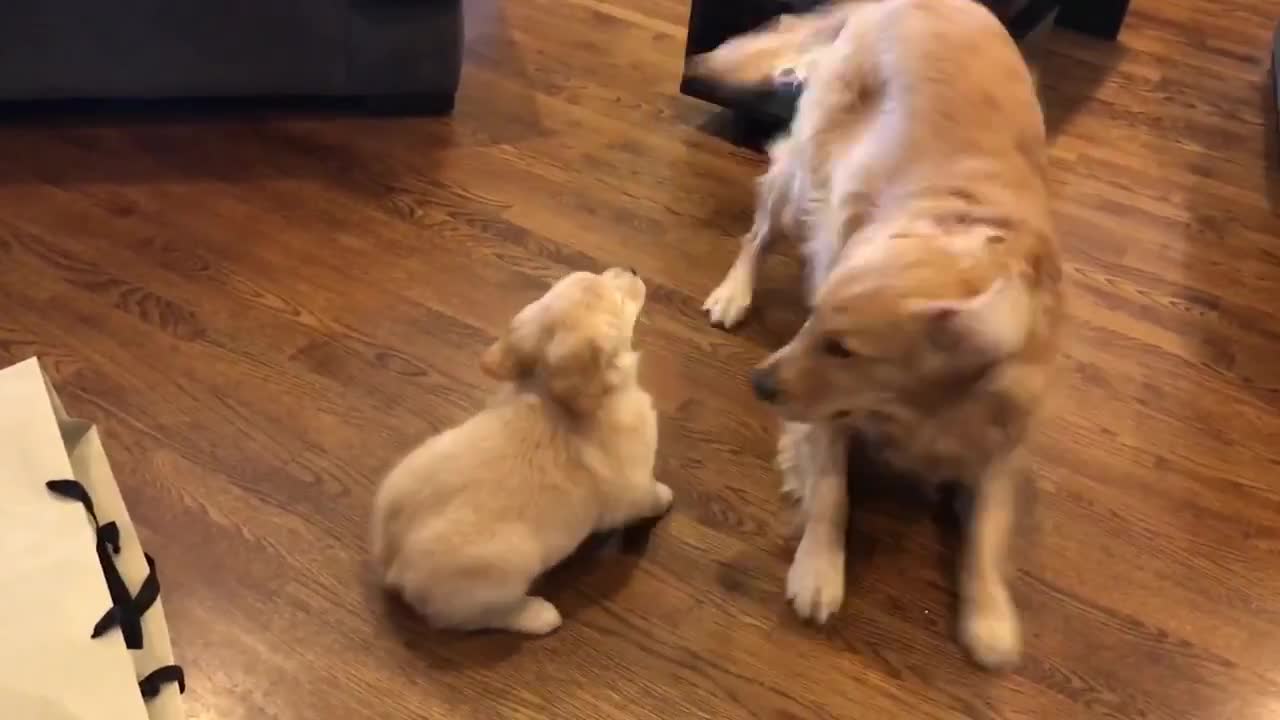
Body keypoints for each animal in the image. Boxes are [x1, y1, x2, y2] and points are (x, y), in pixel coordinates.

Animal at [368, 269, 675, 632]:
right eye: (617, 299)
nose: (631, 270)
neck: (547, 390)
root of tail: (392, 567)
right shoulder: (635, 487)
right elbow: (652, 496)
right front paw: (667, 498)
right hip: (509, 565)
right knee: (476, 617)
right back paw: (539, 614)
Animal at [691, 0, 1059, 666]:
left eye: (844, 349)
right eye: (812, 321)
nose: (759, 384)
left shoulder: (1000, 436)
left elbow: (988, 531)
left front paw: (991, 615)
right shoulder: (826, 415)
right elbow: (832, 489)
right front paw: (818, 569)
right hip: (803, 177)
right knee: (760, 228)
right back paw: (735, 291)